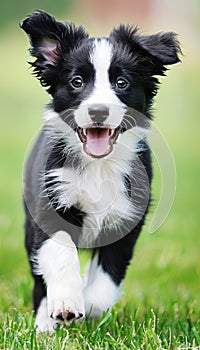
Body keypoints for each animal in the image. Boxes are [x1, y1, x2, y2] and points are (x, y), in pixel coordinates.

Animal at [20, 10, 181, 332]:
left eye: (121, 82)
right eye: (77, 81)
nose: (98, 112)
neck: (98, 165)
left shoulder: (127, 217)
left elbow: (108, 275)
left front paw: (89, 301)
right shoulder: (49, 205)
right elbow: (61, 255)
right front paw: (67, 303)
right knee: (39, 277)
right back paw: (43, 325)